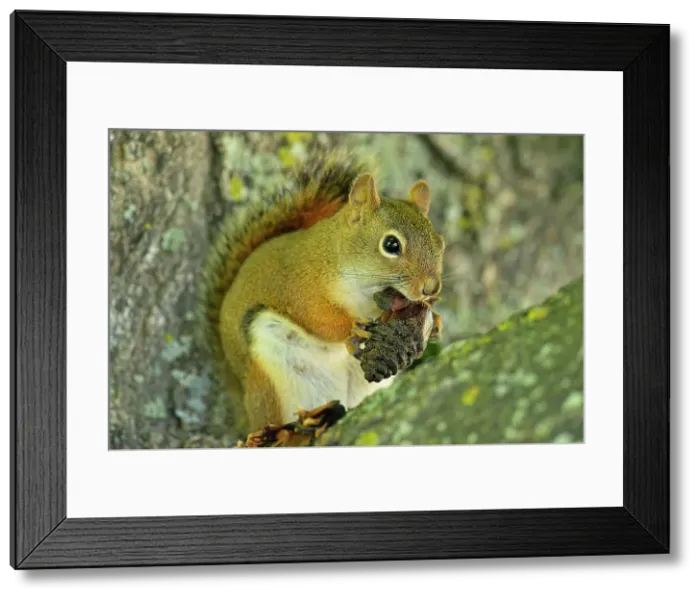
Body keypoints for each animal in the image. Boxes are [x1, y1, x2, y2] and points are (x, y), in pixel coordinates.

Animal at [198, 150, 446, 439]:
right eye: (391, 244)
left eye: (440, 243)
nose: (431, 288)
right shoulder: (301, 286)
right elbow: (317, 318)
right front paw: (353, 328)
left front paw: (435, 322)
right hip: (269, 382)